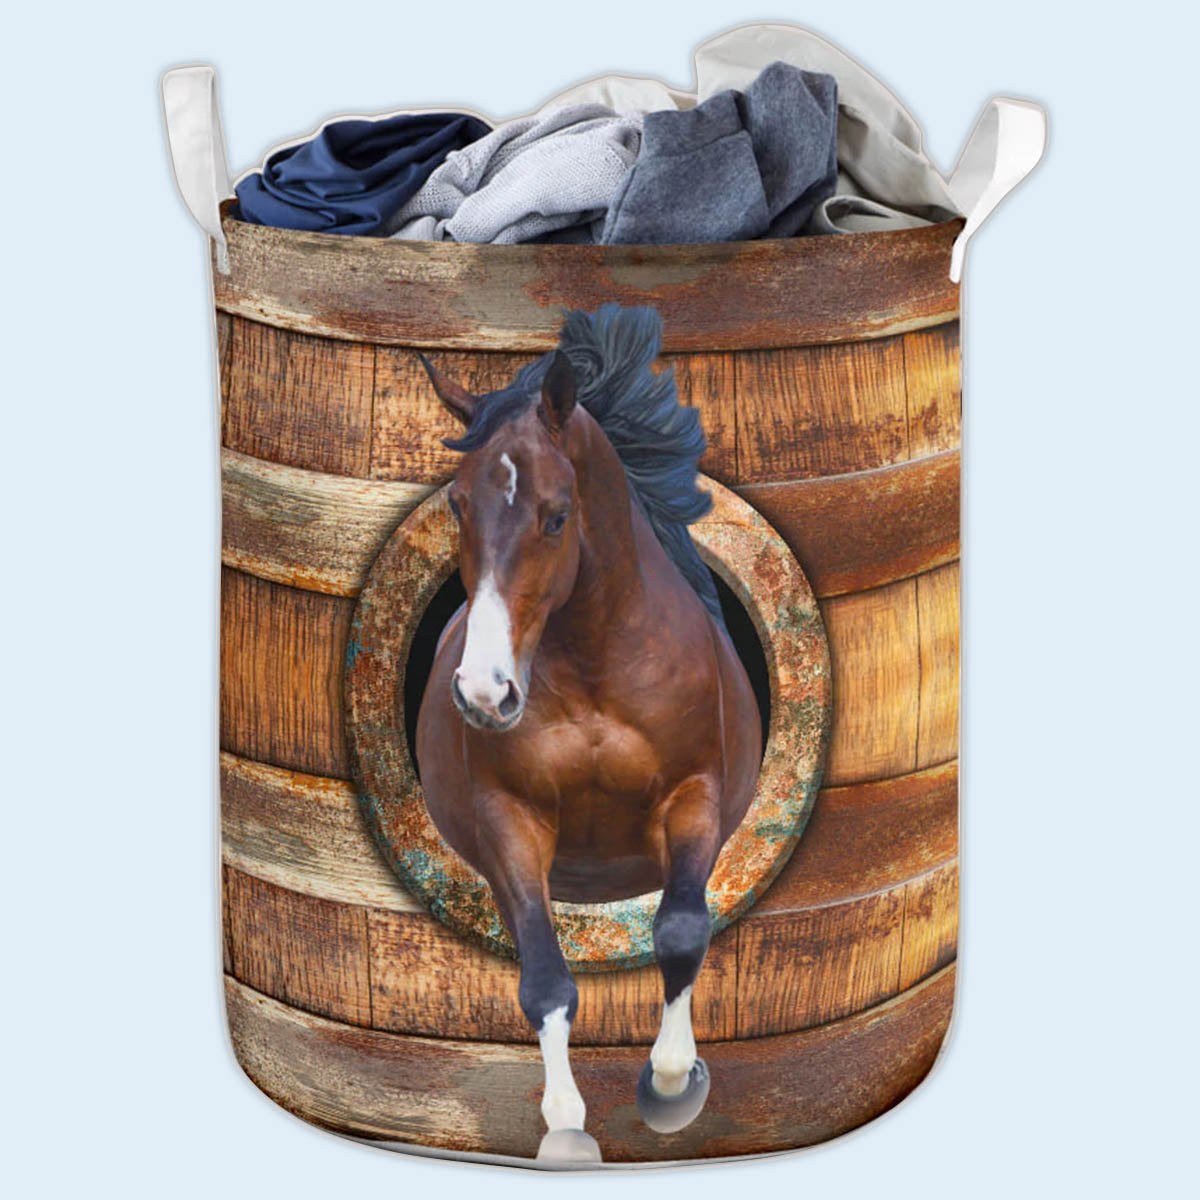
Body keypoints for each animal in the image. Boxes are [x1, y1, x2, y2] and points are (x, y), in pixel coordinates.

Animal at [414, 305, 761, 1163]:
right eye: (458, 506)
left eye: (557, 515)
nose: (486, 692)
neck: (599, 669)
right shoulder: (511, 820)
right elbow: (545, 980)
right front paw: (568, 1129)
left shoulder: (693, 796)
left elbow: (680, 931)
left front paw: (672, 1087)